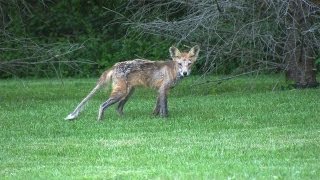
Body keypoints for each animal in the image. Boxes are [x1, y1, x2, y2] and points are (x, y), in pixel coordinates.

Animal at [64, 45, 200, 121]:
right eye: (180, 64)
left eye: (189, 64)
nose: (185, 73)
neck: (172, 71)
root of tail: (114, 66)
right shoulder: (163, 89)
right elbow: (164, 107)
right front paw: (165, 119)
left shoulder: (161, 91)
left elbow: (157, 107)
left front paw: (154, 117)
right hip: (121, 93)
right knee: (102, 105)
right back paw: (100, 121)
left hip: (128, 93)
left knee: (118, 108)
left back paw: (124, 120)